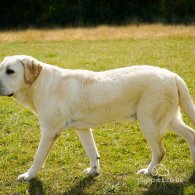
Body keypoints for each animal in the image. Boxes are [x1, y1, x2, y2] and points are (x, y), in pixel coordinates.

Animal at [0, 54, 194, 181]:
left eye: (10, 71)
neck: (38, 83)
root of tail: (171, 74)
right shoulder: (83, 129)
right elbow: (92, 152)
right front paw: (94, 172)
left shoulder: (49, 132)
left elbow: (38, 157)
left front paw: (28, 175)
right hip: (168, 120)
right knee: (191, 134)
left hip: (149, 122)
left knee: (160, 151)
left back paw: (147, 172)